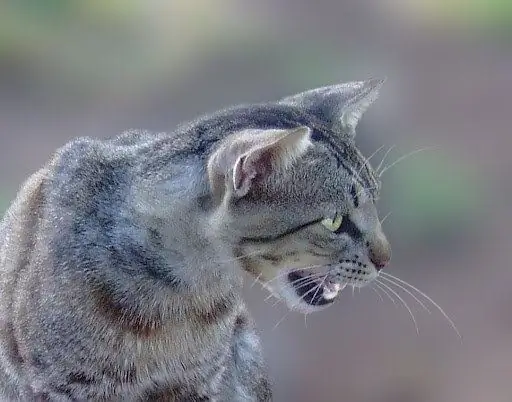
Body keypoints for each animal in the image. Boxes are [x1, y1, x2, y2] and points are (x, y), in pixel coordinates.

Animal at [0, 77, 390, 398]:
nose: (386, 258)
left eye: (375, 199)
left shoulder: (197, 383)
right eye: (334, 221)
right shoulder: (64, 385)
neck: (179, 296)